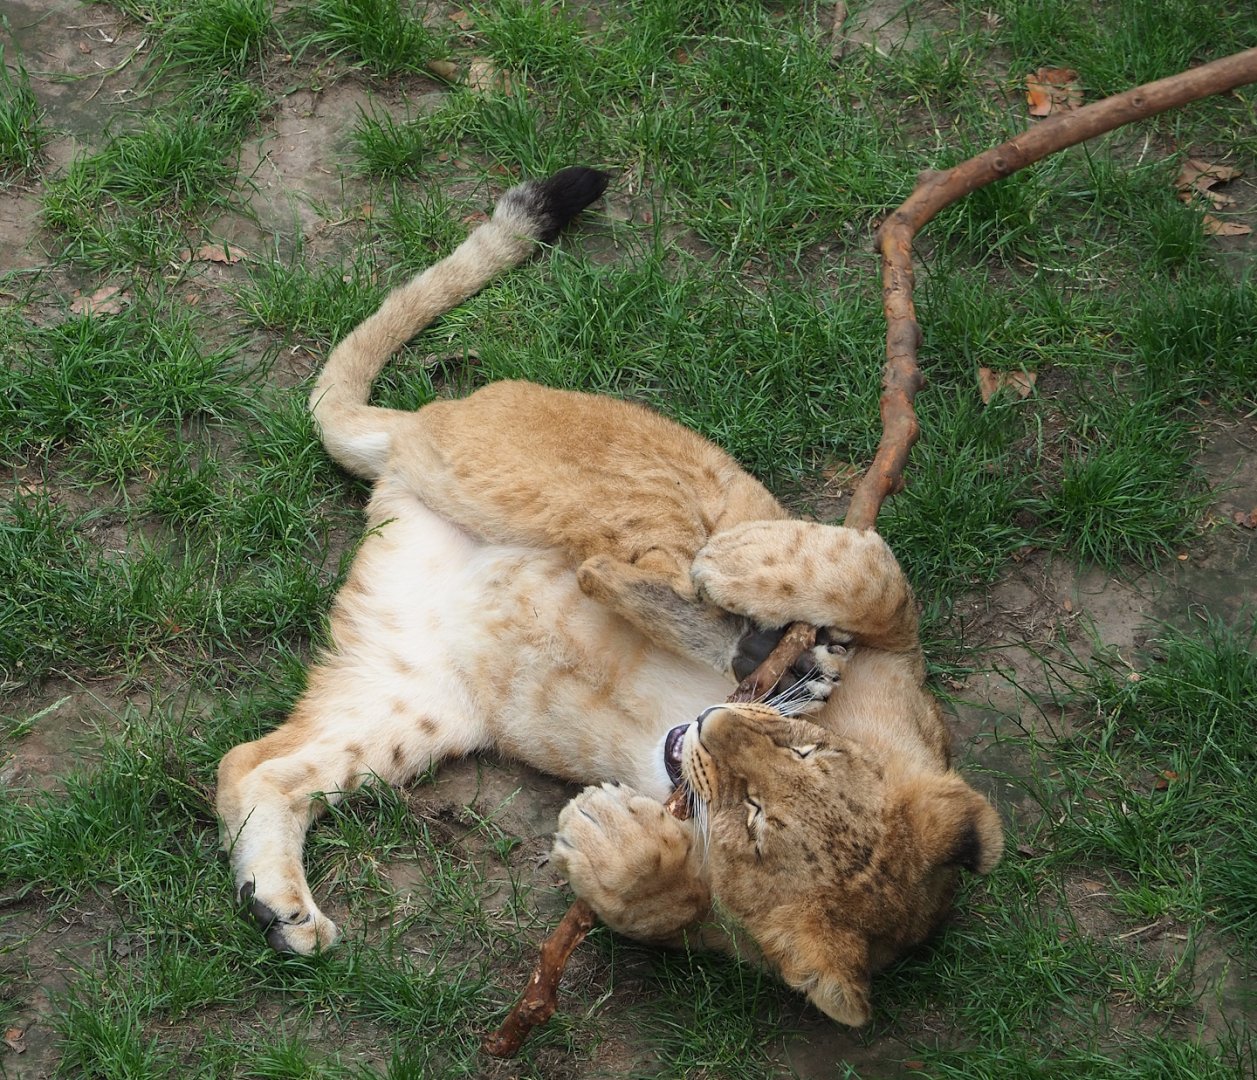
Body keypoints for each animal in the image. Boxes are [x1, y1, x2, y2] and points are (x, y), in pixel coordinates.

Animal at [215, 167, 1003, 1026]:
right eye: (805, 754)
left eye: (757, 824)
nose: (717, 727)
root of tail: (423, 420)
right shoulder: (902, 660)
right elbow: (875, 582)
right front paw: (767, 598)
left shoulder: (715, 933)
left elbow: (661, 906)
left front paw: (616, 848)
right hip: (624, 489)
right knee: (608, 567)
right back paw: (765, 647)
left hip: (409, 693)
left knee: (251, 764)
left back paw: (279, 906)